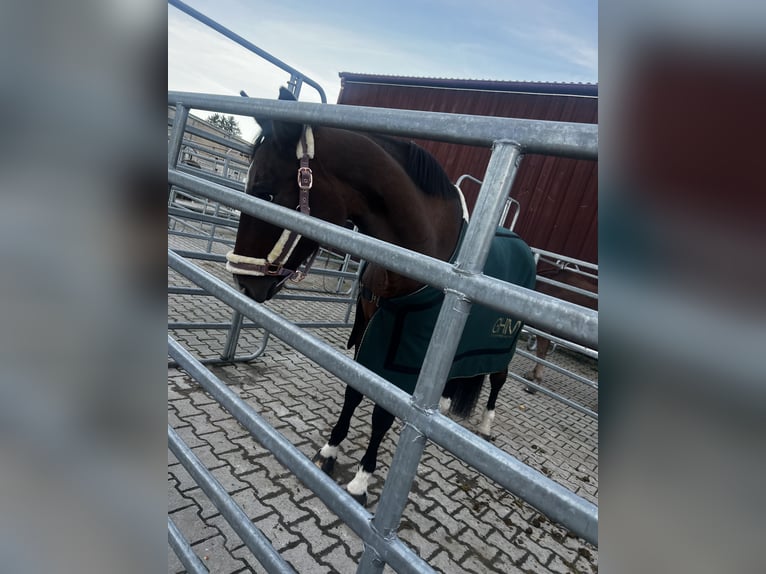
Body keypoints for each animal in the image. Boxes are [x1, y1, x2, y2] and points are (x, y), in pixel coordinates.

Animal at [226, 87, 536, 504]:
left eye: (265, 192)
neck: (422, 255)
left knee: (498, 379)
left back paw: (486, 424)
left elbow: (383, 415)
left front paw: (362, 478)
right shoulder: (371, 328)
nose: (245, 283)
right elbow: (355, 392)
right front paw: (330, 450)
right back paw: (444, 404)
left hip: (505, 344)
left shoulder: (407, 356)